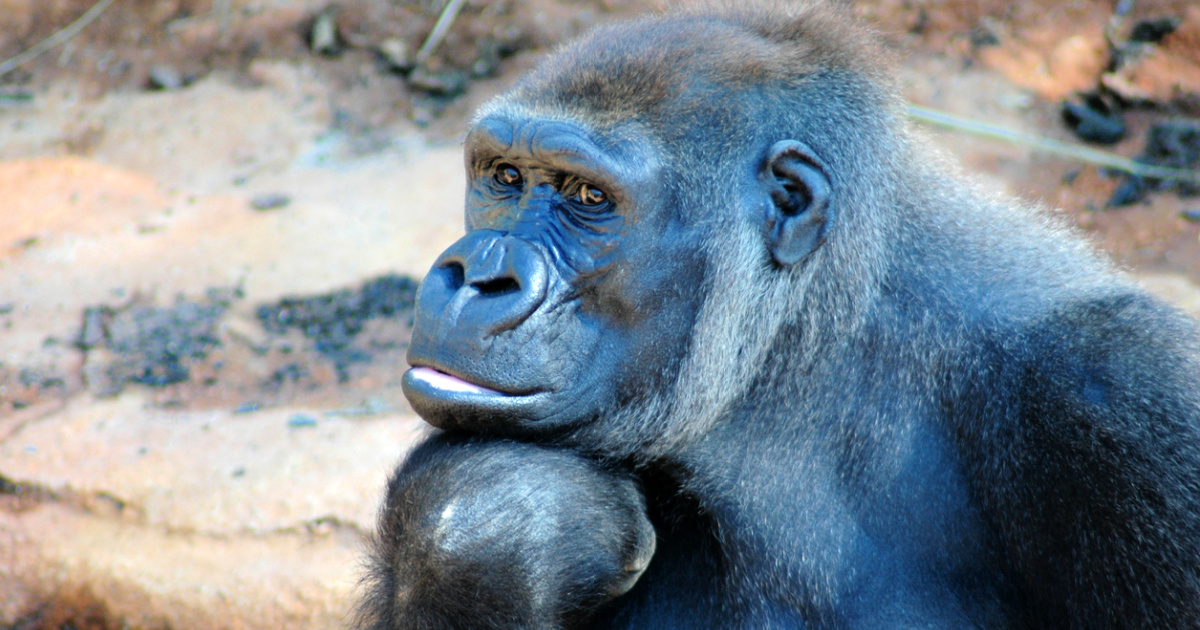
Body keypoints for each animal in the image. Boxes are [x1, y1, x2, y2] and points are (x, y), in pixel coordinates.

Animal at [350, 2, 1200, 624]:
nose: (476, 274)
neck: (808, 351)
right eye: (503, 177)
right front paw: (488, 528)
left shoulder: (1126, 391)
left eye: (589, 197)